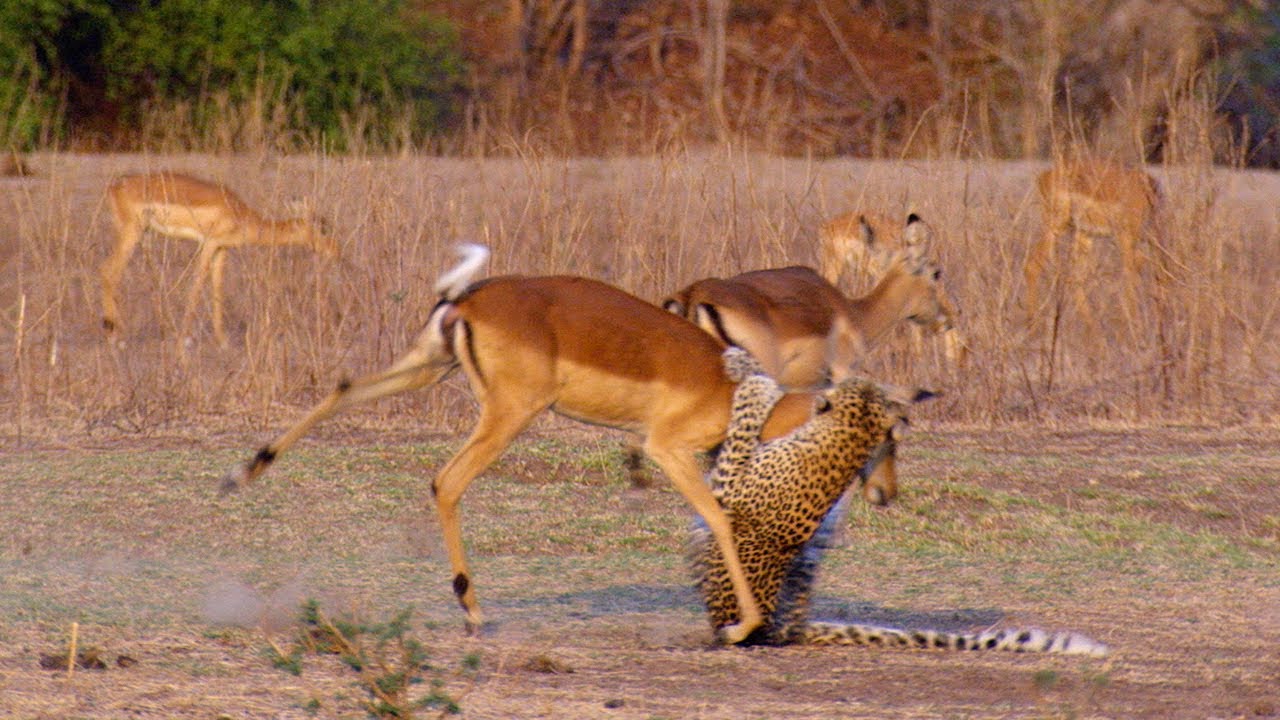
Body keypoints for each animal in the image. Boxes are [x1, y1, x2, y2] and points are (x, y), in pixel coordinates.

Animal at [691, 348, 1111, 655]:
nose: (832, 373)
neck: (845, 439)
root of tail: (787, 630)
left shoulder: (727, 481)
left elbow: (746, 414)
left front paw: (747, 370)